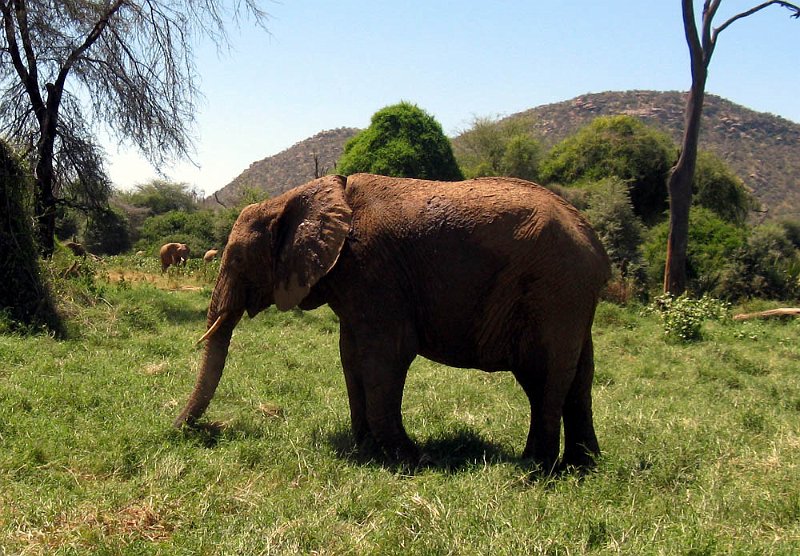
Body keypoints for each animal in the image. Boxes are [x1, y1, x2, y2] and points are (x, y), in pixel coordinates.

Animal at [174, 174, 611, 472]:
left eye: (237, 260)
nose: (185, 431)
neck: (304, 195)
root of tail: (592, 240)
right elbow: (351, 356)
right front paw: (366, 449)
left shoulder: (375, 272)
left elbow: (386, 356)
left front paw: (410, 459)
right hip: (570, 299)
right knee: (579, 378)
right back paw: (582, 468)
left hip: (553, 291)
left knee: (543, 377)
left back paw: (531, 472)